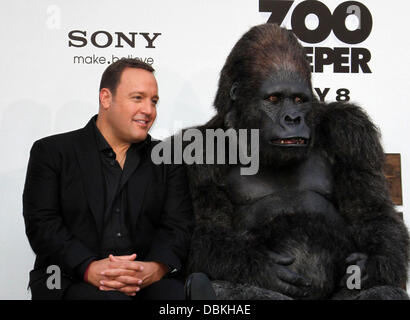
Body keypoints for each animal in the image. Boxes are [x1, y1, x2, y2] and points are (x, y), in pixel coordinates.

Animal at [183, 23, 410, 300]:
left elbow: (372, 214)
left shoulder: (351, 131)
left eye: (299, 100)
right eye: (274, 99)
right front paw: (261, 266)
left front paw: (370, 266)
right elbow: (207, 232)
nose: (293, 119)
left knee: (384, 291)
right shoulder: (199, 151)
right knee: (220, 287)